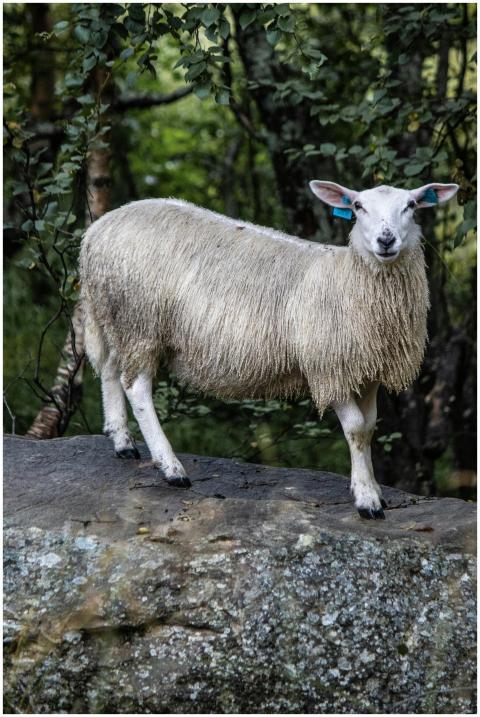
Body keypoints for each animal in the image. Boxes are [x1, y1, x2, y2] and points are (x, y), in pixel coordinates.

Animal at [79, 180, 459, 519]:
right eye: (357, 206)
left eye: (411, 205)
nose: (386, 240)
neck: (349, 278)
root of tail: (97, 230)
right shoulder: (329, 366)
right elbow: (354, 428)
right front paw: (366, 500)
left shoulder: (367, 371)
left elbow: (367, 428)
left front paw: (372, 488)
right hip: (139, 320)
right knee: (136, 387)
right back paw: (171, 467)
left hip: (114, 314)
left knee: (110, 370)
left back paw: (122, 442)